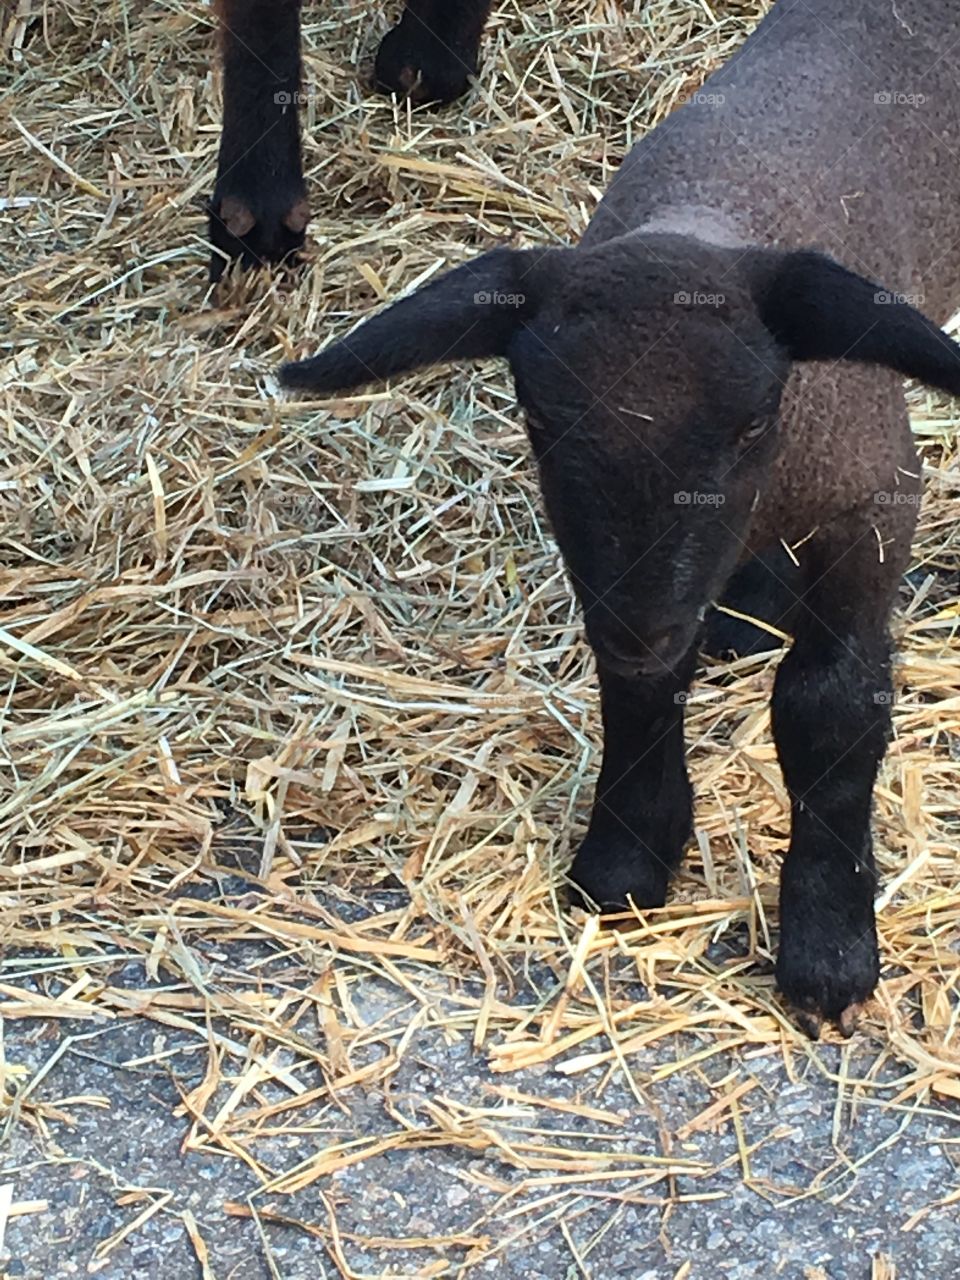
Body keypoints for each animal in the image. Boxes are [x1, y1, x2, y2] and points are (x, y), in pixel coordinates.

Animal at [278, 0, 960, 1037]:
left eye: (755, 418)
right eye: (537, 417)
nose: (647, 623)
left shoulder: (869, 506)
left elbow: (831, 709)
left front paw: (828, 947)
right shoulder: (632, 583)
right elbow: (637, 686)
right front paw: (629, 855)